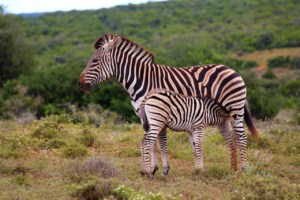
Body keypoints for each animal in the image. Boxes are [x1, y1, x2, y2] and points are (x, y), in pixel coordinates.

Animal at [79, 33, 258, 176]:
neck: (142, 81)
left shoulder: (160, 113)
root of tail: (231, 69)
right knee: (231, 139)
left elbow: (161, 142)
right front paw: (153, 168)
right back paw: (233, 169)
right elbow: (151, 142)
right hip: (222, 117)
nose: (79, 83)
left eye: (95, 60)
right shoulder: (145, 117)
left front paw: (162, 169)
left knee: (241, 137)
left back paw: (243, 169)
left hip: (236, 109)